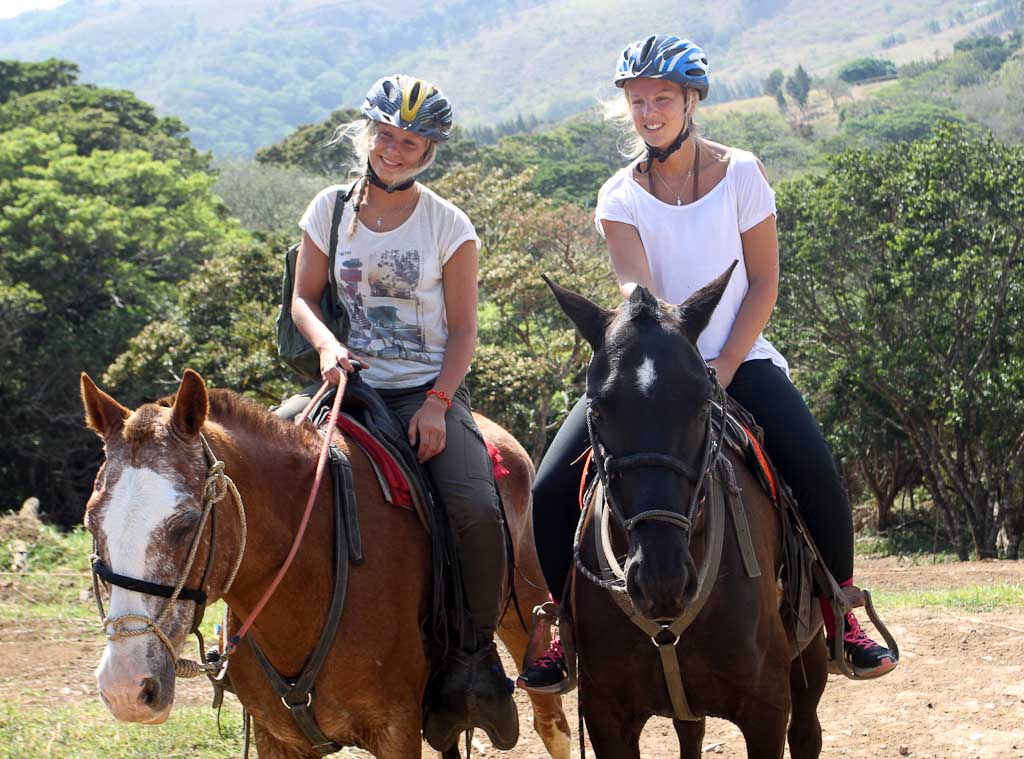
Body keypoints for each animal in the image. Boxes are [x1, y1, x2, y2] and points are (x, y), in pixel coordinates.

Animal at [80, 370, 573, 753]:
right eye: (91, 522)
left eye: (185, 523)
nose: (126, 688)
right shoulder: (276, 739)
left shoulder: (395, 730)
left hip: (526, 613)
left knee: (552, 724)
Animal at [548, 264, 827, 753]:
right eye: (598, 411)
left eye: (700, 407)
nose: (662, 581)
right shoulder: (605, 715)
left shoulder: (767, 709)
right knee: (690, 732)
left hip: (809, 660)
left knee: (807, 732)